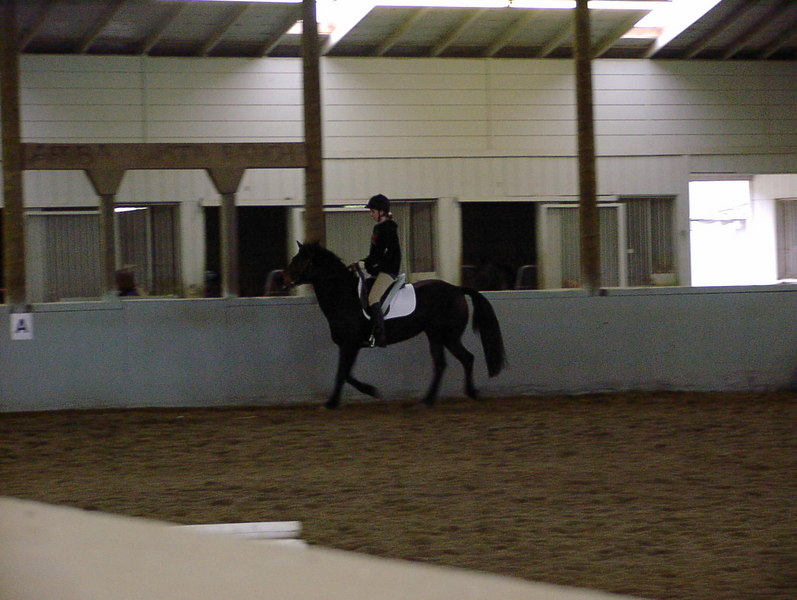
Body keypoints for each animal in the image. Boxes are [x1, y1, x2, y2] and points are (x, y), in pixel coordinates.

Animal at [283, 242, 506, 409]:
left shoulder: (349, 344)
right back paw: (428, 400)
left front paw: (338, 401)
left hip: (448, 336)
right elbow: (346, 374)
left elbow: (342, 374)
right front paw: (363, 393)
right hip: (435, 335)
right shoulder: (350, 346)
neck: (343, 296)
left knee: (466, 359)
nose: (282, 280)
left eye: (300, 260)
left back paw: (469, 393)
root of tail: (457, 289)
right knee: (442, 364)